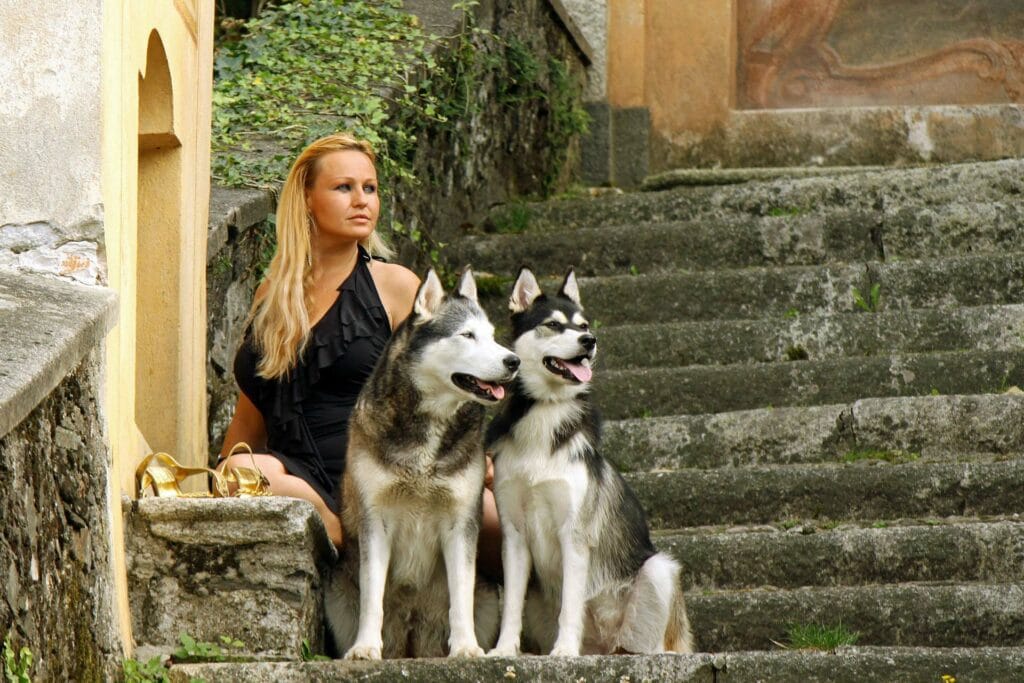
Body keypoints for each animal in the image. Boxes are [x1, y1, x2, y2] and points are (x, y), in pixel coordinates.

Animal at [325, 270, 520, 659]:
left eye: (492, 336)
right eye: (467, 335)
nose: (514, 361)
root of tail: (412, 641)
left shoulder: (461, 523)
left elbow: (460, 597)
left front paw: (465, 647)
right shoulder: (375, 521)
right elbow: (372, 599)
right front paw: (365, 647)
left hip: (488, 600)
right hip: (335, 592)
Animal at [483, 266, 692, 655]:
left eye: (583, 325)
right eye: (553, 325)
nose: (589, 341)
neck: (545, 411)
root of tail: (604, 647)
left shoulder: (574, 535)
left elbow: (571, 604)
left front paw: (564, 651)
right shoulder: (514, 536)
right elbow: (511, 607)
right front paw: (504, 650)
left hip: (658, 569)